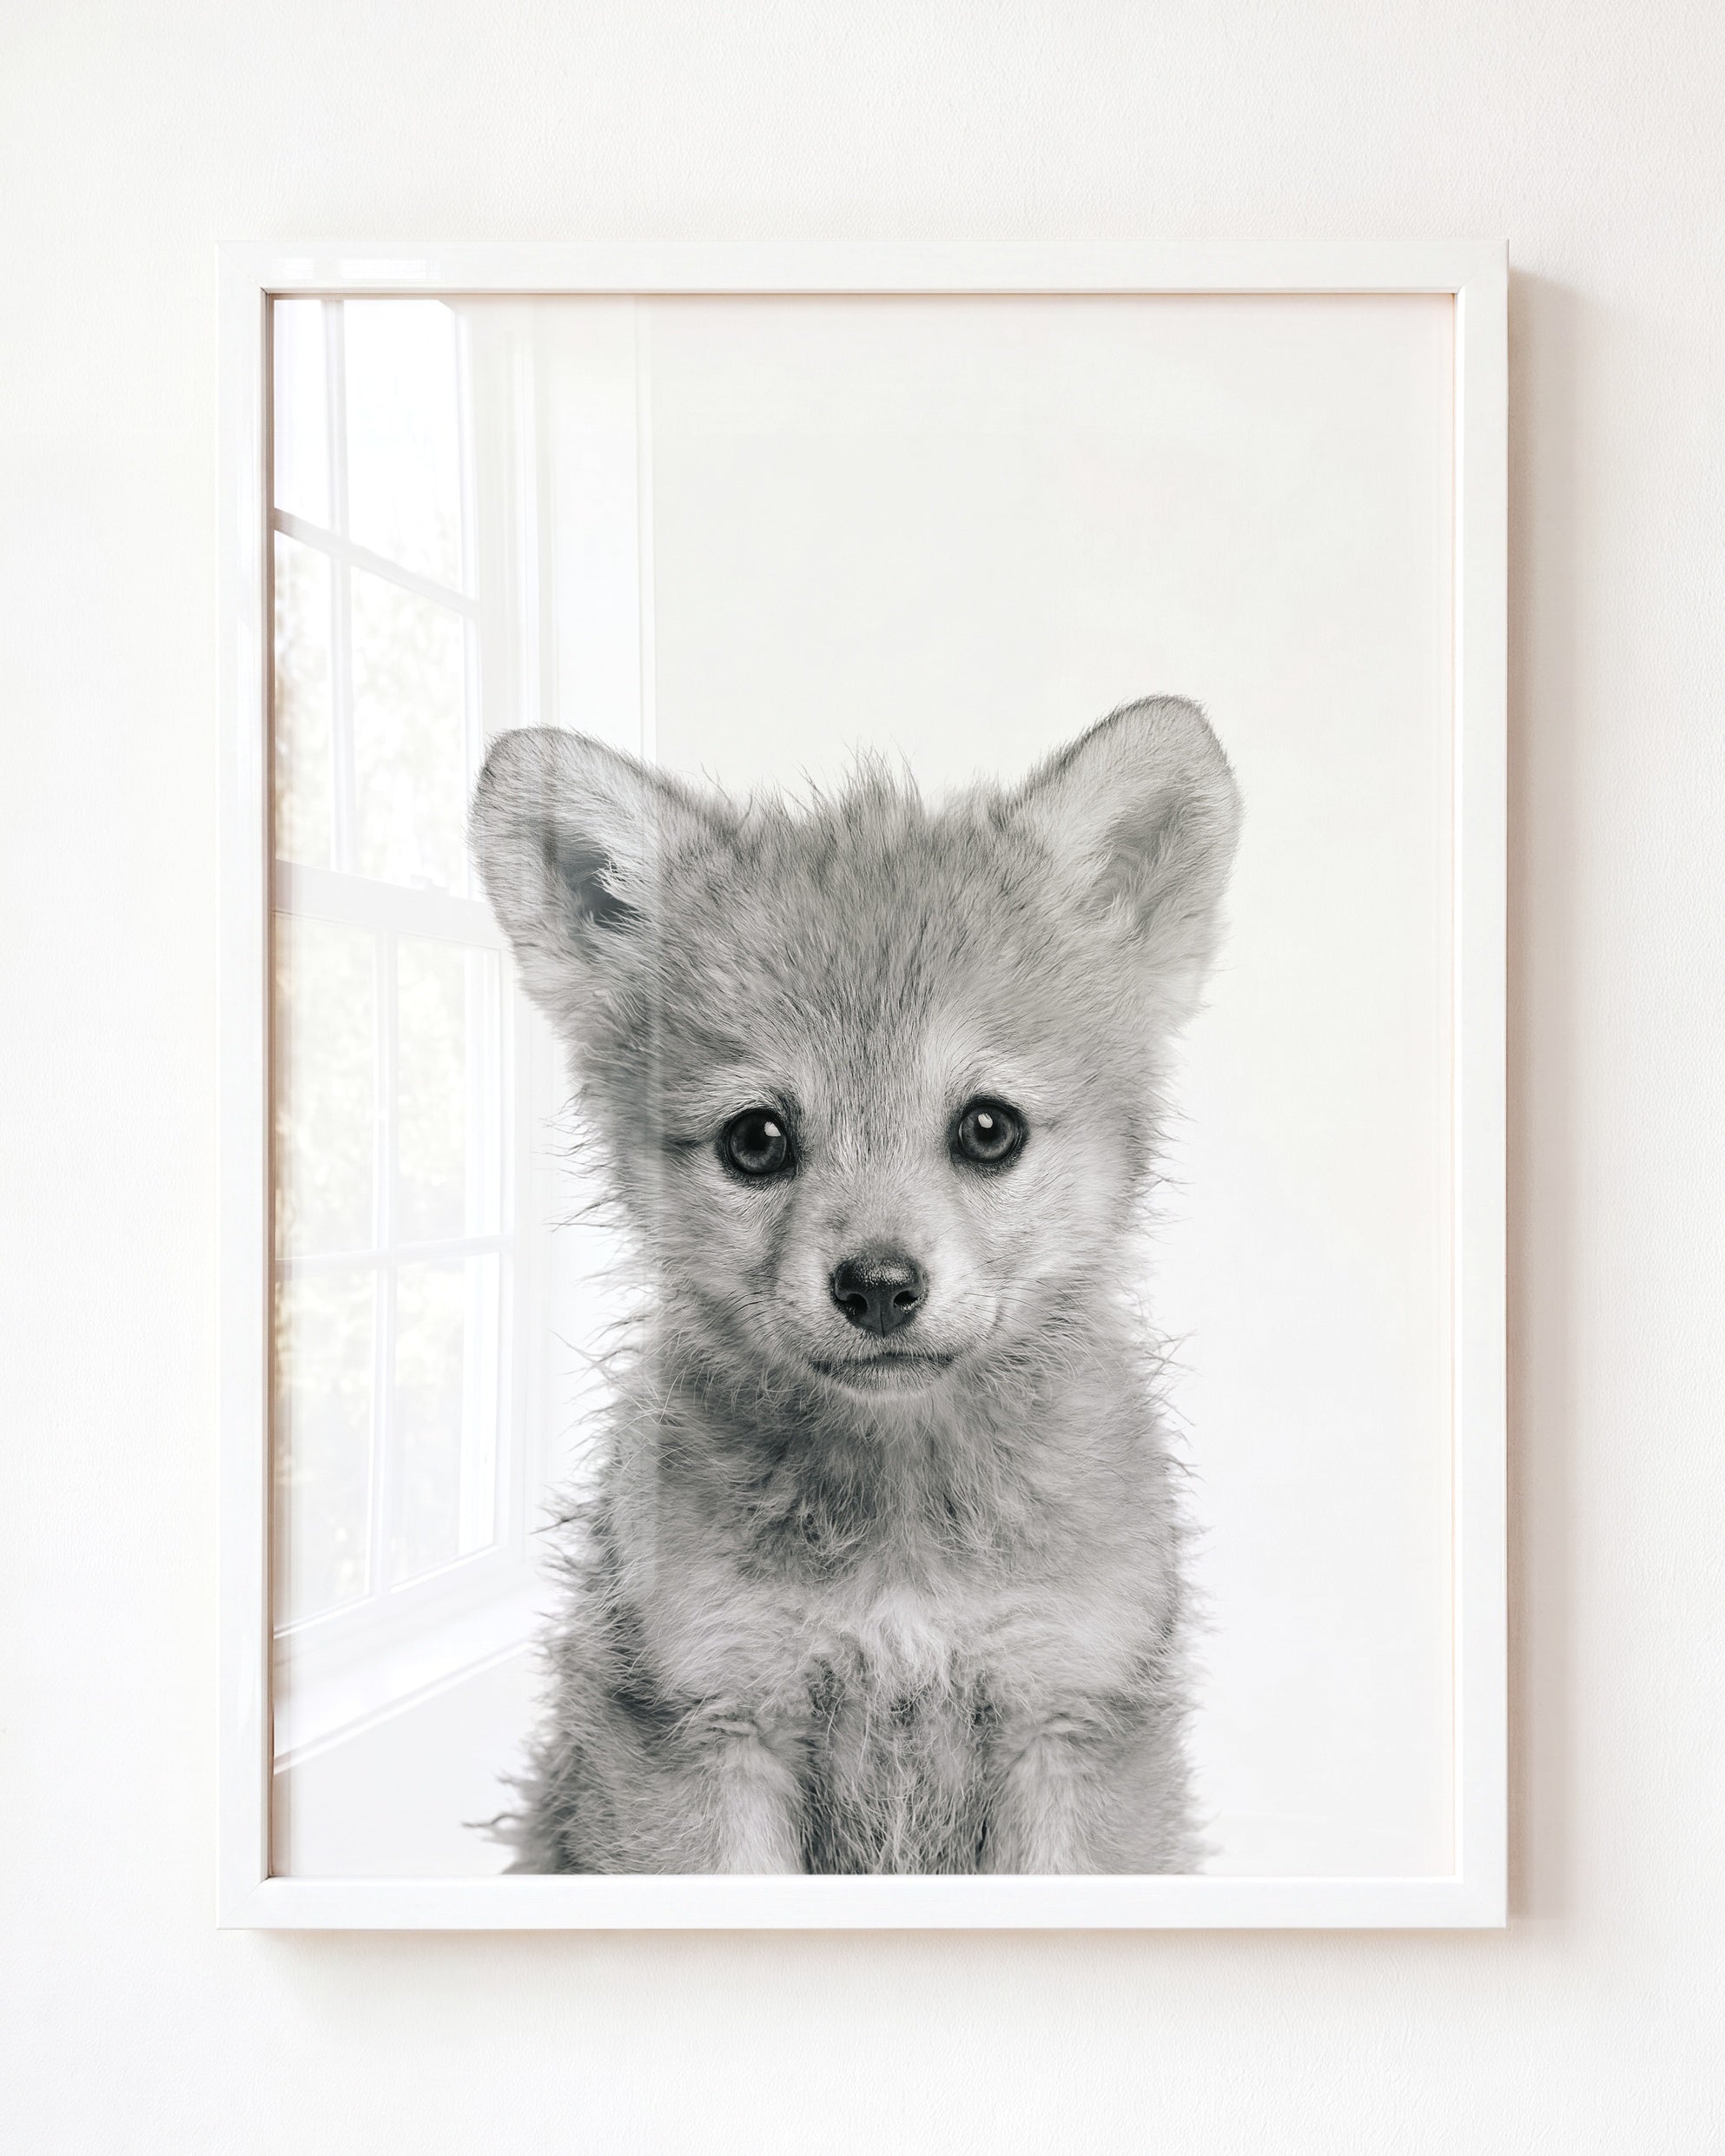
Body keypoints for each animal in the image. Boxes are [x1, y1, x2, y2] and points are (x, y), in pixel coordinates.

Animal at [469, 697, 1241, 1873]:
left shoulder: (1069, 1716)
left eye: (988, 1128)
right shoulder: (708, 1724)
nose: (878, 1287)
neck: (901, 1535)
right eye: (756, 1140)